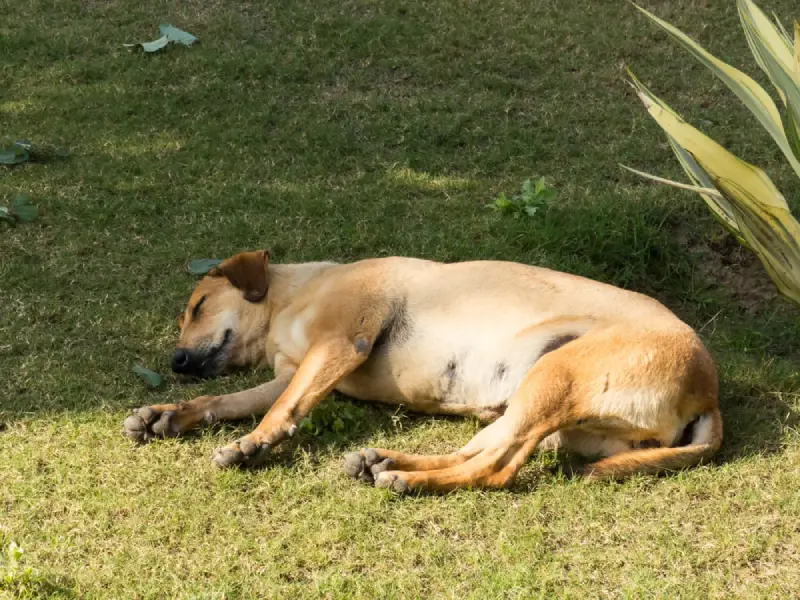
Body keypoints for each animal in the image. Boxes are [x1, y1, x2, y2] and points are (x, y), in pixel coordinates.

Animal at [122, 250, 720, 492]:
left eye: (198, 306)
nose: (176, 362)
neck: (291, 299)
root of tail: (708, 393)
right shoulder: (294, 370)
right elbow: (225, 402)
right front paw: (167, 414)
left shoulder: (339, 346)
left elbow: (283, 409)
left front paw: (254, 444)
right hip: (534, 406)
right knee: (480, 450)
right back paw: (385, 461)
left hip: (556, 378)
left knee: (496, 469)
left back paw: (408, 480)